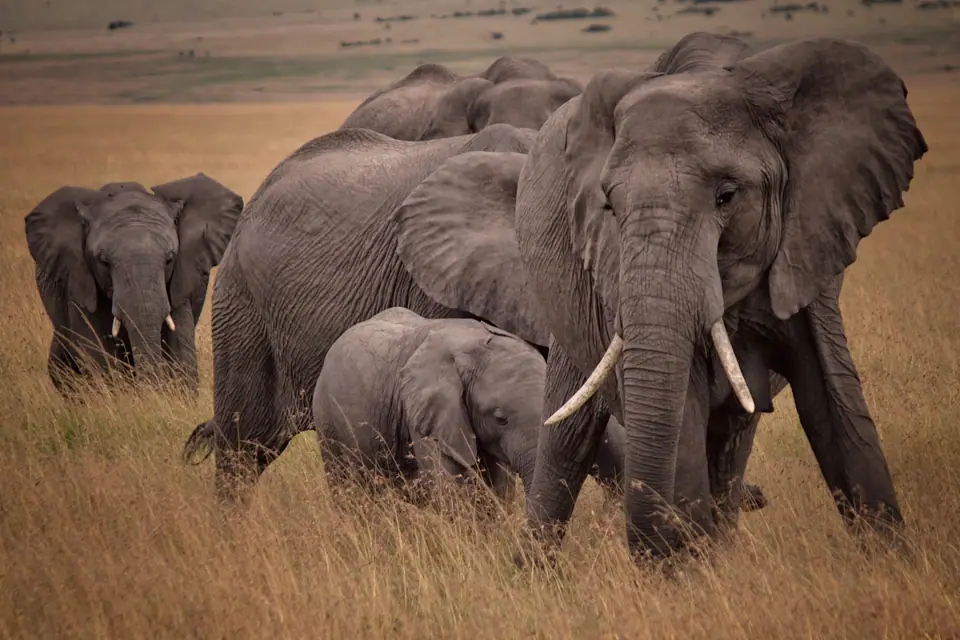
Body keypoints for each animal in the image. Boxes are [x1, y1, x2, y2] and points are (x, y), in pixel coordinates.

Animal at [25, 174, 243, 393]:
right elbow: (94, 351)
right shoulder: (77, 279)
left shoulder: (182, 277)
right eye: (103, 262)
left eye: (170, 259)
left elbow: (180, 349)